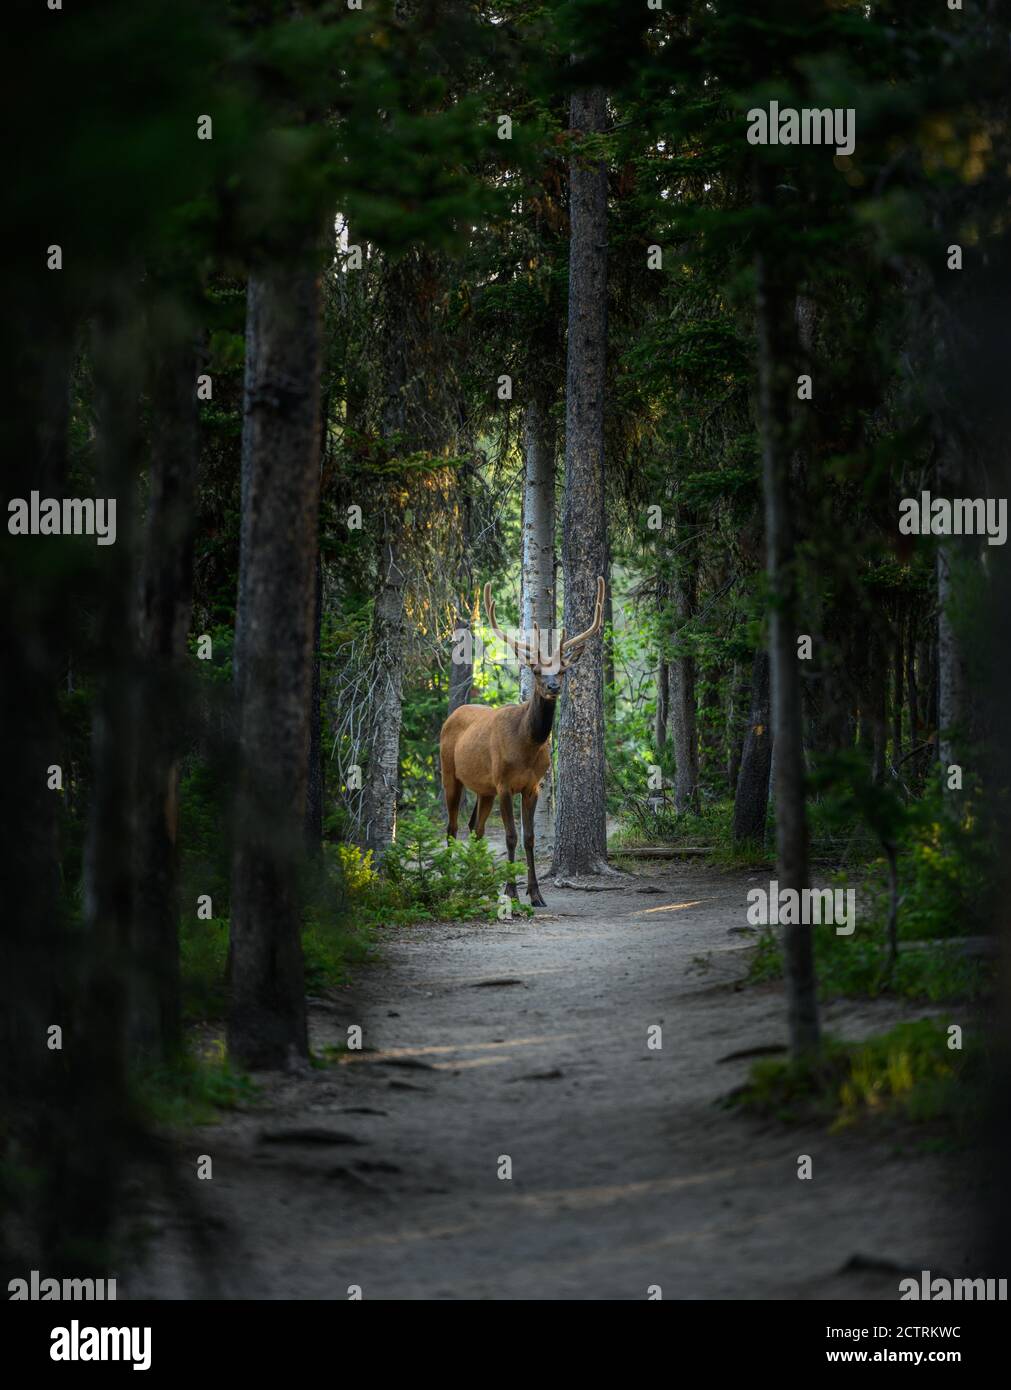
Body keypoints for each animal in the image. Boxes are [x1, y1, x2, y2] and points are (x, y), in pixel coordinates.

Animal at [439, 572, 606, 906]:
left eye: (563, 669)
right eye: (537, 670)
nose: (553, 686)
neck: (526, 745)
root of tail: (453, 715)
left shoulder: (532, 785)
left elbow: (529, 838)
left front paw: (536, 894)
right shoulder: (504, 783)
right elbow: (511, 836)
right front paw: (512, 892)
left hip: (484, 788)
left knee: (475, 828)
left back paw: (477, 885)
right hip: (449, 773)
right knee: (452, 828)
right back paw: (452, 885)